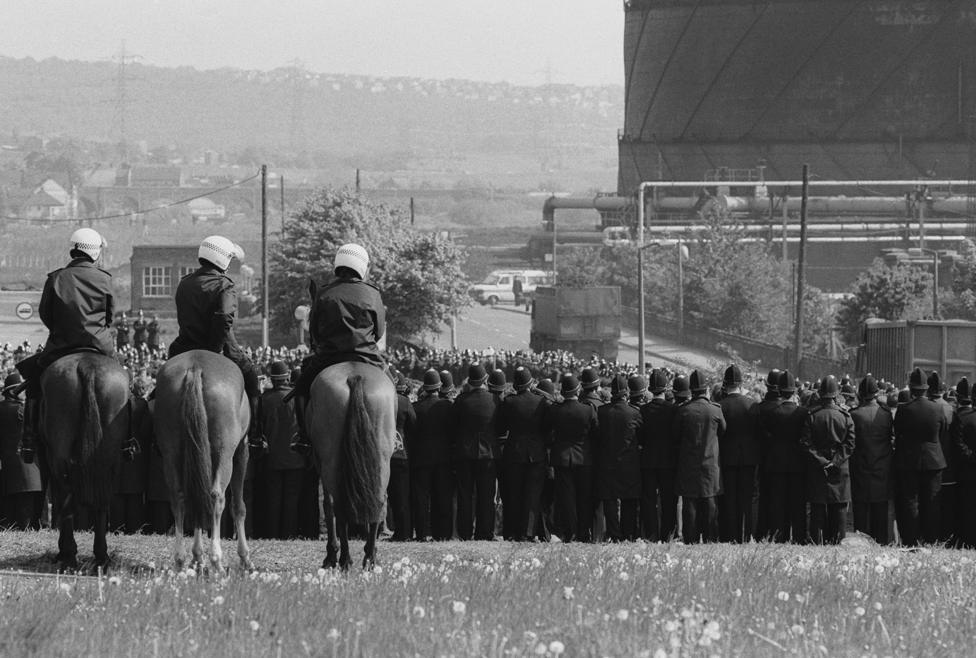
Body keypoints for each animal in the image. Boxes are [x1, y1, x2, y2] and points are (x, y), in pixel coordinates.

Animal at [40, 352, 130, 572]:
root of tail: (87, 365)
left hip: (59, 457)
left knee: (65, 495)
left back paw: (68, 555)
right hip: (109, 457)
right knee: (102, 501)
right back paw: (101, 556)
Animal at [152, 348, 252, 568]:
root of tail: (195, 367)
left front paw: (197, 556)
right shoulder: (241, 451)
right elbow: (239, 506)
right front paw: (244, 557)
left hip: (171, 452)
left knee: (180, 497)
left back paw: (180, 559)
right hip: (225, 454)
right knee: (216, 496)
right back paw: (217, 560)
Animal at [306, 362, 394, 568]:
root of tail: (355, 376)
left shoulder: (321, 462)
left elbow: (327, 505)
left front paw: (332, 553)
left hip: (330, 462)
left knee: (337, 506)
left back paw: (343, 558)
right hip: (382, 459)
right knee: (379, 501)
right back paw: (370, 557)